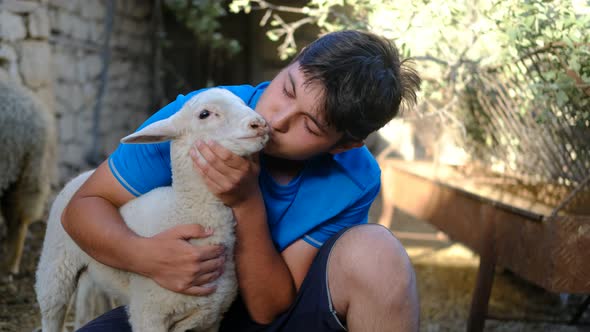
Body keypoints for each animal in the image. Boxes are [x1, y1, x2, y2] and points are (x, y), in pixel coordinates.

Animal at [0, 74, 56, 278]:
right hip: (26, 170)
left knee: (17, 220)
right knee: (18, 218)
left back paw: (8, 267)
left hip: (11, 165)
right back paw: (11, 265)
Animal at [34, 88, 270, 332]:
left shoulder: (211, 318)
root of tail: (83, 175)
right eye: (204, 114)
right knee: (52, 310)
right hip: (55, 266)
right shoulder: (148, 315)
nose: (259, 124)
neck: (181, 211)